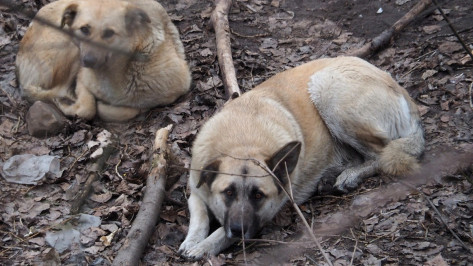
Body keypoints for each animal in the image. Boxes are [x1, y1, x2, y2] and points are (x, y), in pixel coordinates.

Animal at [16, 0, 190, 121]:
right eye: (84, 29)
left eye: (109, 33)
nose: (88, 61)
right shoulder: (82, 78)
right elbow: (87, 108)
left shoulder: (178, 88)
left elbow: (128, 109)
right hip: (70, 47)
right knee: (59, 89)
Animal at [178, 56, 424, 260]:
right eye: (228, 193)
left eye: (258, 196)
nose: (239, 229)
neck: (242, 142)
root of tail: (400, 90)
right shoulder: (196, 191)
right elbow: (200, 217)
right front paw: (192, 241)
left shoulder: (266, 212)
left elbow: (222, 232)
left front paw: (204, 246)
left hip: (327, 89)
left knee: (380, 153)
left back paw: (349, 176)